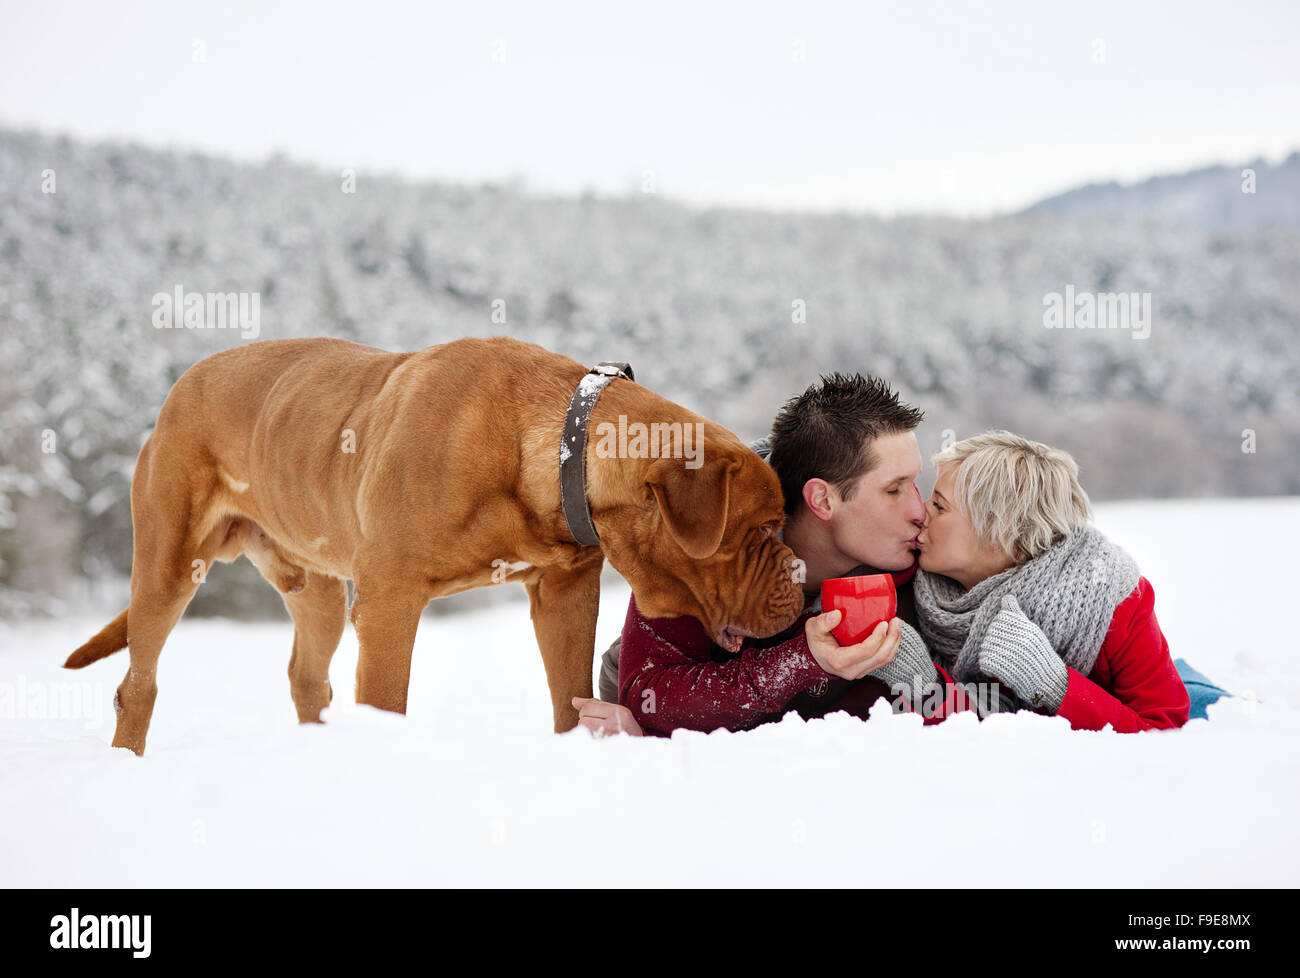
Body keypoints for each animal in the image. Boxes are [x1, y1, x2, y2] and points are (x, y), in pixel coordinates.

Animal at [71, 338, 806, 754]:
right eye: (761, 529)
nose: (800, 572)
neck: (548, 447)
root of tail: (180, 382)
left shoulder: (565, 592)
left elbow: (568, 694)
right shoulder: (391, 601)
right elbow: (386, 698)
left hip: (316, 587)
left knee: (308, 675)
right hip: (169, 562)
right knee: (138, 683)